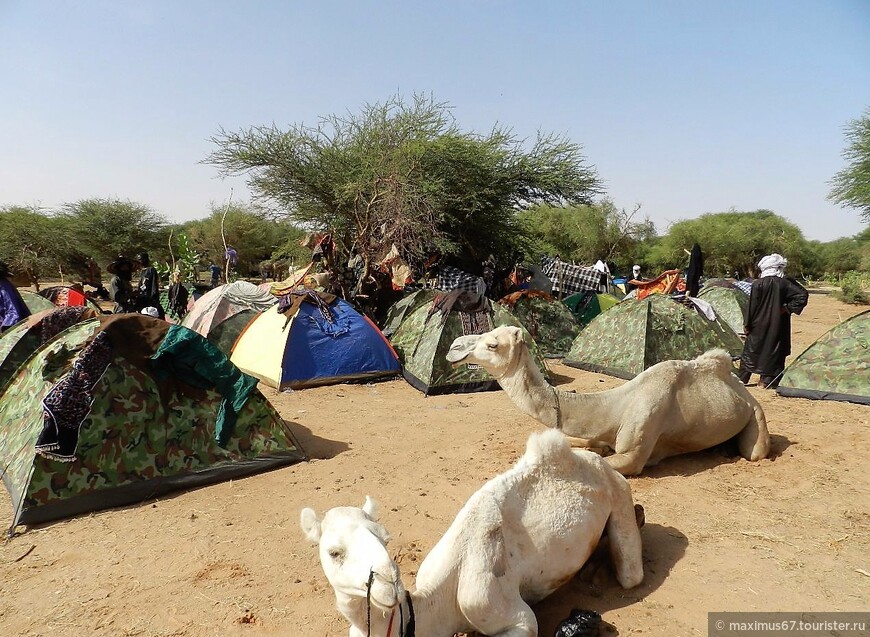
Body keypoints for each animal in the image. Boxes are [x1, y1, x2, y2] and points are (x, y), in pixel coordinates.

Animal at [304, 428, 644, 636]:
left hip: (619, 492)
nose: (389, 584)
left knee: (631, 572)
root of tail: (601, 464)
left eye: (385, 538)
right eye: (334, 552)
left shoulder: (499, 610)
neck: (438, 606)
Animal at [450, 328, 768, 472]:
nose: (454, 347)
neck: (615, 406)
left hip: (756, 414)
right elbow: (584, 444)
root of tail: (742, 388)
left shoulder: (633, 453)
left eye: (493, 344)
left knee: (755, 451)